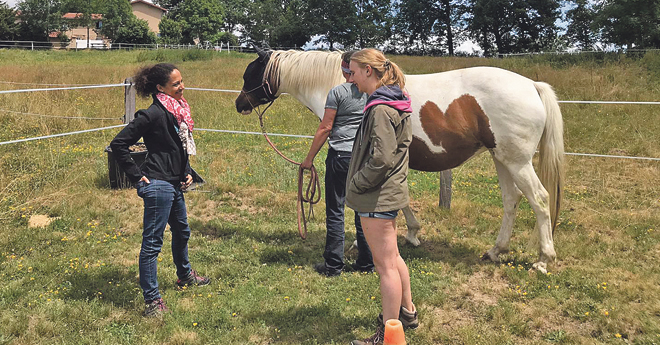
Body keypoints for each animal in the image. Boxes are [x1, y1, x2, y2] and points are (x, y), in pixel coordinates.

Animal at [235, 48, 564, 272]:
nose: (240, 104)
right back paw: (496, 251)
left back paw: (543, 260)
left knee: (539, 199)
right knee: (512, 201)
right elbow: (397, 197)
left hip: (517, 162)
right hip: (502, 159)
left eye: (250, 74)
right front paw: (412, 233)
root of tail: (532, 85)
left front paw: (362, 242)